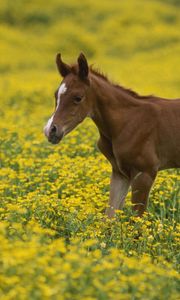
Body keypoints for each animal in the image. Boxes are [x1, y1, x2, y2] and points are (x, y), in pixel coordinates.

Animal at [44, 53, 180, 218]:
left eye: (78, 97)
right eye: (56, 95)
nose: (50, 130)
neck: (128, 122)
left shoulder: (145, 173)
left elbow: (137, 220)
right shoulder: (120, 173)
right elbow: (110, 216)